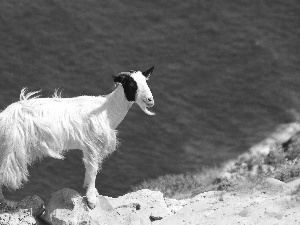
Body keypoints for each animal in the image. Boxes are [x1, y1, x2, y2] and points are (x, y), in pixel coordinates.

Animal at [0, 67, 155, 209]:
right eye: (132, 83)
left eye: (146, 81)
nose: (150, 100)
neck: (108, 110)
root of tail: (4, 116)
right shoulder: (93, 144)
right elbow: (93, 169)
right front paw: (91, 200)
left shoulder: (89, 147)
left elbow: (90, 169)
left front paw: (90, 190)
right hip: (11, 150)